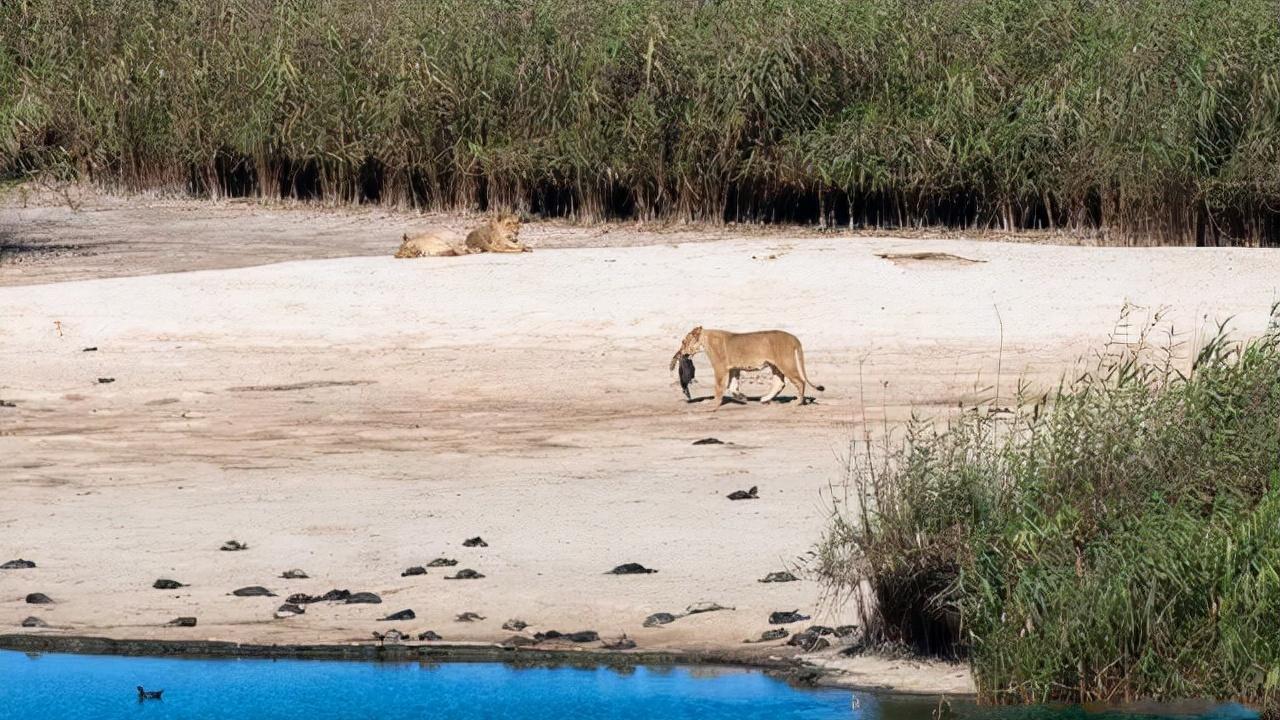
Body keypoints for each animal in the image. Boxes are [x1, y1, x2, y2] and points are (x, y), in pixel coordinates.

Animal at [670, 326, 829, 409]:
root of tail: (794, 338)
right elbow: (732, 386)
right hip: (775, 365)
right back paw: (765, 399)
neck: (706, 340)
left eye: (684, 342)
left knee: (800, 381)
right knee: (779, 383)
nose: (679, 354)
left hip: (785, 362)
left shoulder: (721, 368)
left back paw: (798, 402)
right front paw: (742, 397)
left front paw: (713, 403)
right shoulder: (734, 368)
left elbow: (719, 387)